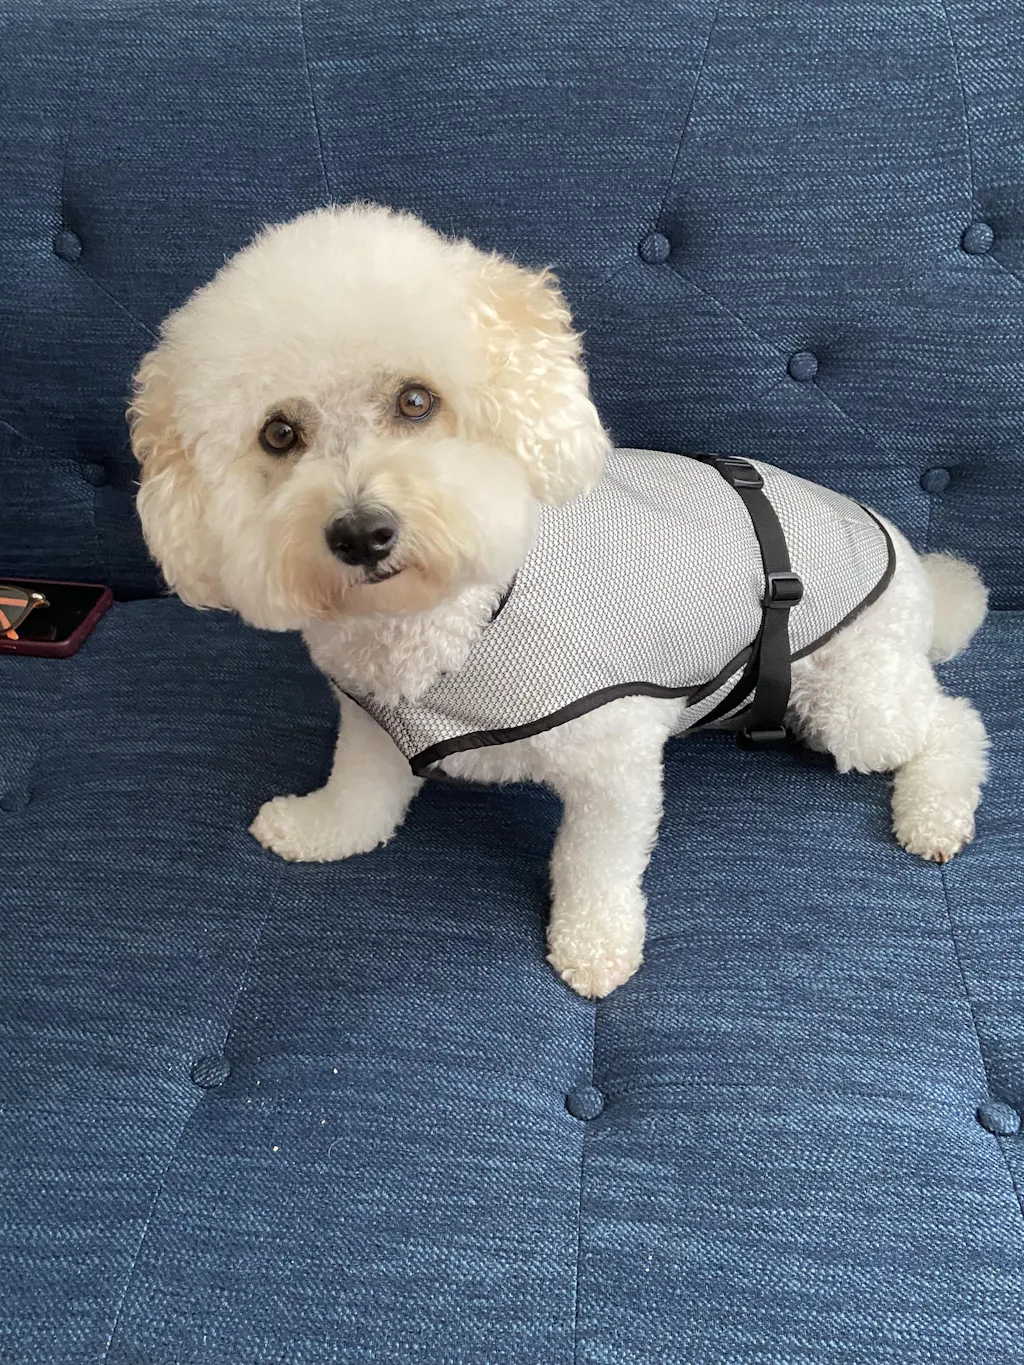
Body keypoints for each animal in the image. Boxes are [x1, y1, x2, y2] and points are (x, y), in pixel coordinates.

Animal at [129, 203, 990, 999]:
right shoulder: (372, 725)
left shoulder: (615, 759)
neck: (459, 618)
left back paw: (933, 815)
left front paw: (595, 945)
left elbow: (594, 863)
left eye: (416, 401)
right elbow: (360, 792)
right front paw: (319, 828)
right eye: (279, 433)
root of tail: (914, 565)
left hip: (852, 693)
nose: (362, 533)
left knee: (952, 721)